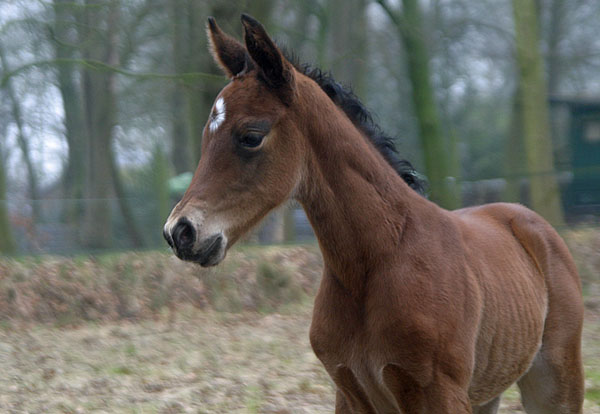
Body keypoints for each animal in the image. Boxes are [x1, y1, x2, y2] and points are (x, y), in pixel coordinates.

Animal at [162, 14, 584, 412]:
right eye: (206, 136)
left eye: (251, 136)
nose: (179, 232)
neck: (375, 263)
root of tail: (531, 221)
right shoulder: (349, 392)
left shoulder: (440, 393)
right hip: (485, 393)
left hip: (555, 383)